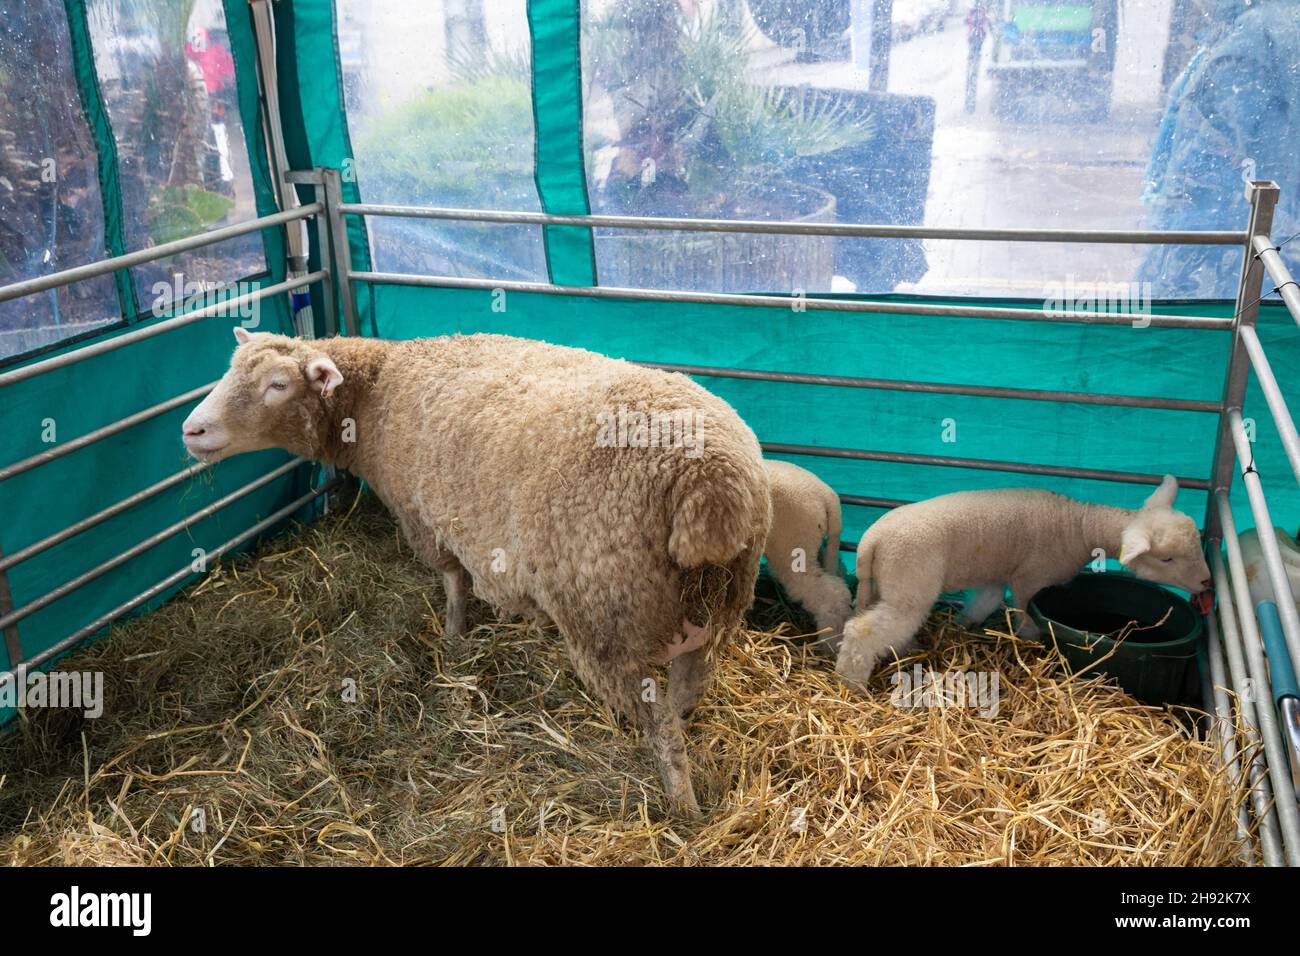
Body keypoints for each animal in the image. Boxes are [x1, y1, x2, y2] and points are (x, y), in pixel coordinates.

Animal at [181, 329, 771, 816]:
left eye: (278, 384)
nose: (191, 429)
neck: (377, 390)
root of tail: (707, 481)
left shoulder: (423, 518)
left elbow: (454, 583)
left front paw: (453, 636)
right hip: (711, 607)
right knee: (690, 689)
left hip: (606, 615)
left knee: (662, 727)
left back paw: (683, 807)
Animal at [762, 459, 852, 649]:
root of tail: (828, 496)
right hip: (815, 548)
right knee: (838, 574)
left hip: (792, 548)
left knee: (831, 593)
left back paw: (829, 643)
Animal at [835, 476, 1212, 688]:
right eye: (1167, 559)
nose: (1208, 583)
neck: (1078, 526)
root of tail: (870, 541)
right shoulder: (1031, 579)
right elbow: (1028, 620)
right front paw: (1032, 645)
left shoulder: (998, 573)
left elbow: (984, 602)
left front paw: (964, 623)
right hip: (910, 583)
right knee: (863, 629)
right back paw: (852, 682)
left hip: (886, 582)